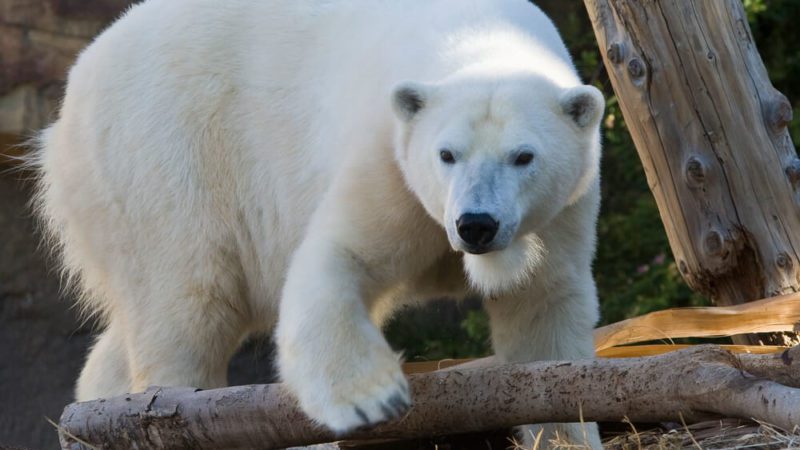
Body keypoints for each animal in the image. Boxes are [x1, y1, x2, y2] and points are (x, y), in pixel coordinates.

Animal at [33, 0, 604, 446]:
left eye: (524, 157)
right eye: (447, 154)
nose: (475, 224)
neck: (483, 34)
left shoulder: (562, 209)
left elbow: (542, 313)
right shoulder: (385, 156)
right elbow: (339, 257)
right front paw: (372, 399)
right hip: (162, 157)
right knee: (187, 301)